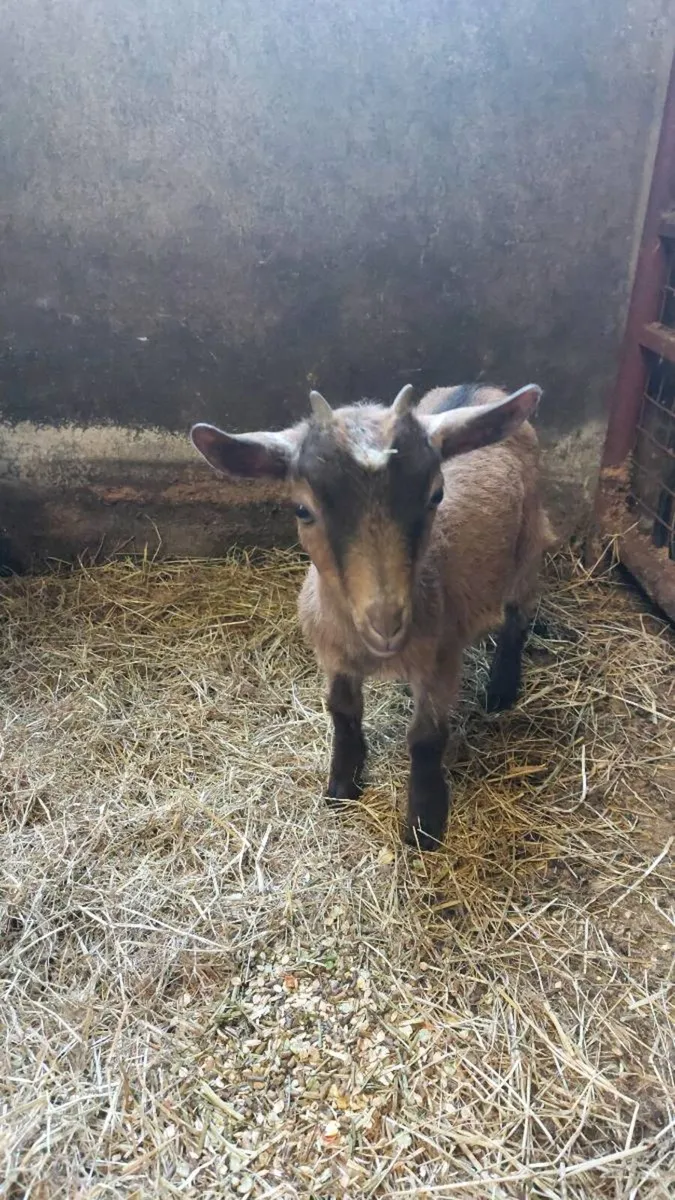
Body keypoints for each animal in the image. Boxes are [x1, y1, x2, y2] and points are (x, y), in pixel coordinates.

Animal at [191, 381, 553, 850]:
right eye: (303, 510)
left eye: (436, 495)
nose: (386, 625)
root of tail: (482, 388)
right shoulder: (332, 654)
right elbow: (342, 711)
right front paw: (341, 786)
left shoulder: (440, 659)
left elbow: (426, 737)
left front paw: (424, 822)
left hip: (530, 543)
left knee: (517, 615)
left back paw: (502, 689)